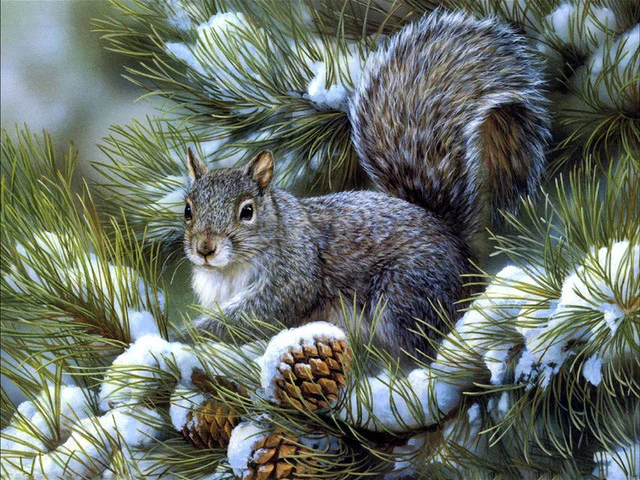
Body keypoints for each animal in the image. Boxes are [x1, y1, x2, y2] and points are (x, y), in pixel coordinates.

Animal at [182, 11, 550, 360]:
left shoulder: (294, 274)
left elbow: (258, 315)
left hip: (405, 293)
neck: (230, 270)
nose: (205, 248)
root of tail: (460, 250)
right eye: (188, 210)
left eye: (247, 211)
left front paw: (190, 335)